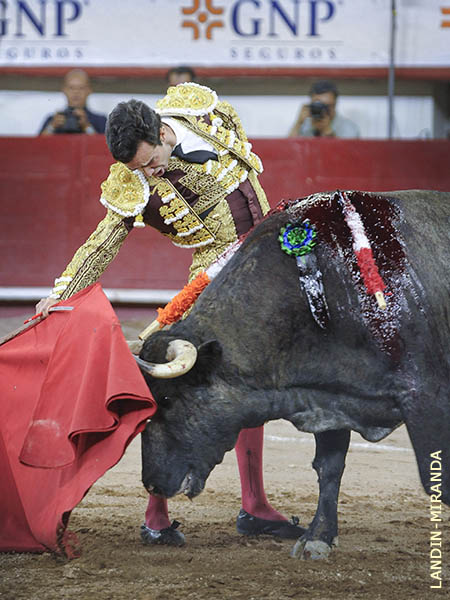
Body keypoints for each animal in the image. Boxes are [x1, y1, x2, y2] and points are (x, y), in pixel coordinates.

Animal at [135, 191, 448, 556]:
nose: (152, 482)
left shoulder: (425, 397)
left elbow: (434, 475)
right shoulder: (331, 398)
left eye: (168, 400)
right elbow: (328, 467)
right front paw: (318, 537)